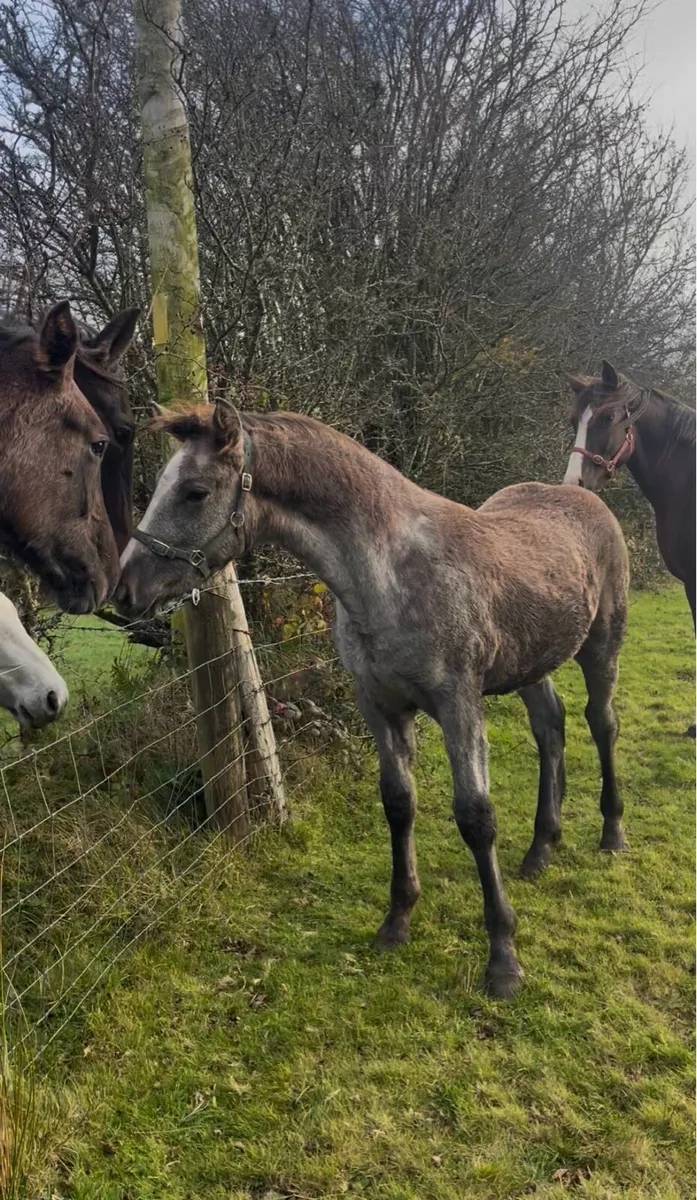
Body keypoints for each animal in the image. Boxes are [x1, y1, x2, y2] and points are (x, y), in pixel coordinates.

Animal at [116, 401, 630, 998]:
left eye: (195, 492)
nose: (125, 588)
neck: (388, 573)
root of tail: (580, 495)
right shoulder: (380, 705)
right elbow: (398, 803)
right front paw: (397, 920)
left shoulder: (460, 704)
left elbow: (476, 818)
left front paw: (503, 959)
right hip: (531, 665)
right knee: (551, 727)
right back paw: (541, 847)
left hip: (601, 647)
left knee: (602, 722)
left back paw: (612, 832)